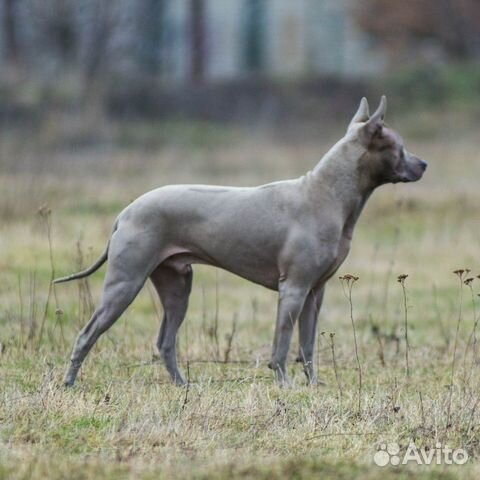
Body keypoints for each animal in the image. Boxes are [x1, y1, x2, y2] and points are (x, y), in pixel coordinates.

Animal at [55, 96, 428, 386]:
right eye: (400, 147)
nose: (424, 164)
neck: (326, 194)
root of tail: (127, 211)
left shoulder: (315, 292)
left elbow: (307, 345)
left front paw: (314, 385)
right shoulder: (293, 288)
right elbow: (282, 343)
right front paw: (285, 385)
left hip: (178, 285)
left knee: (165, 341)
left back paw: (183, 386)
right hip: (126, 283)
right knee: (87, 334)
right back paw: (69, 383)